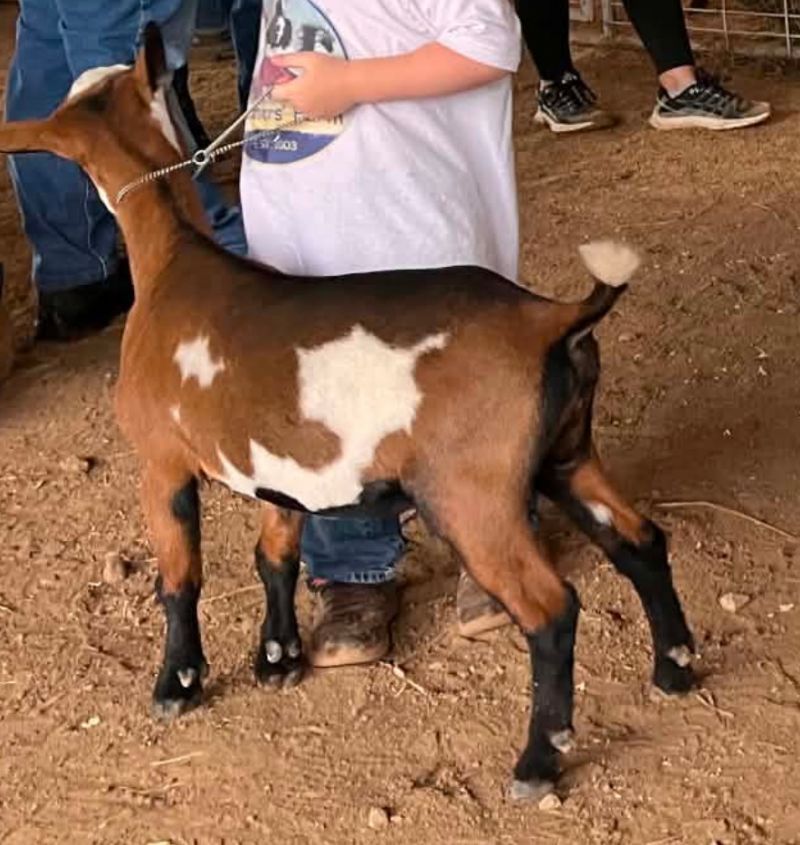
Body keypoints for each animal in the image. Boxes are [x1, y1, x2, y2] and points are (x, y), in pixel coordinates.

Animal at [0, 25, 696, 800]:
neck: (177, 257)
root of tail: (551, 318)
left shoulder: (161, 461)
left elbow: (179, 577)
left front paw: (176, 684)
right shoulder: (279, 471)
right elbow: (274, 554)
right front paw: (278, 658)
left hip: (470, 493)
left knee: (550, 607)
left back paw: (538, 761)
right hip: (568, 454)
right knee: (640, 539)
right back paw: (673, 669)